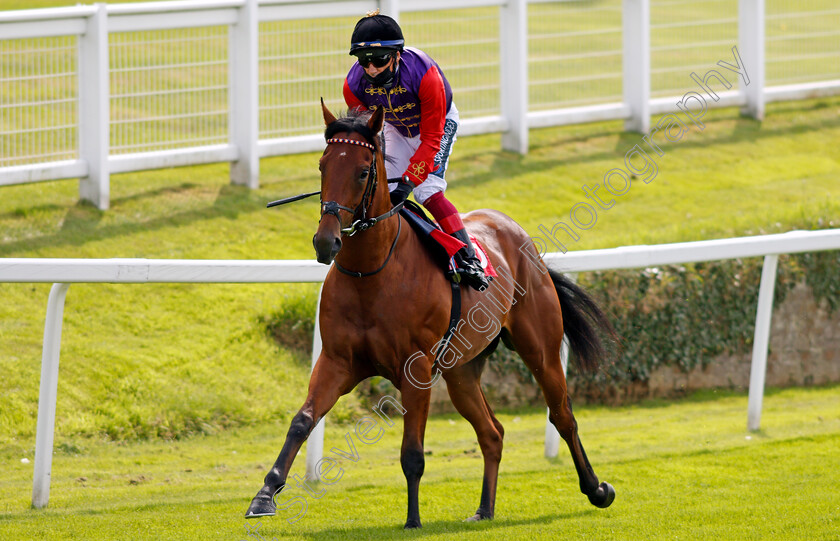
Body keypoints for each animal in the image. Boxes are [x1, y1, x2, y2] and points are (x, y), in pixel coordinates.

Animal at [244, 101, 616, 528]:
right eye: (322, 166)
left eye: (362, 171)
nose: (326, 242)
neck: (371, 273)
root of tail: (519, 234)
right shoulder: (337, 361)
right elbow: (302, 421)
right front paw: (265, 495)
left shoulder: (417, 368)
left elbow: (412, 453)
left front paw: (412, 521)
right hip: (461, 371)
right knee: (492, 432)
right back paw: (484, 509)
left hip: (540, 348)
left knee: (563, 416)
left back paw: (597, 489)